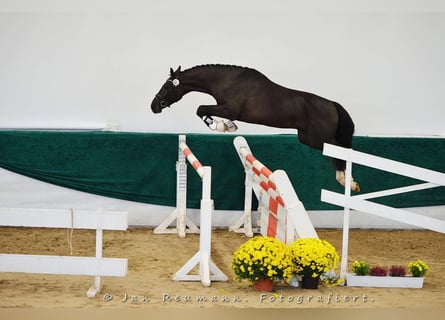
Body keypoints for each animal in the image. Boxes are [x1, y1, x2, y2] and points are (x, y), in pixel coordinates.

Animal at [151, 63, 360, 191]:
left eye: (167, 87)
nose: (154, 106)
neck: (226, 81)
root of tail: (332, 104)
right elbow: (203, 110)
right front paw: (227, 126)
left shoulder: (229, 109)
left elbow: (201, 109)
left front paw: (221, 126)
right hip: (307, 138)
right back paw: (347, 181)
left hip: (318, 138)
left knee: (342, 150)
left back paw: (347, 182)